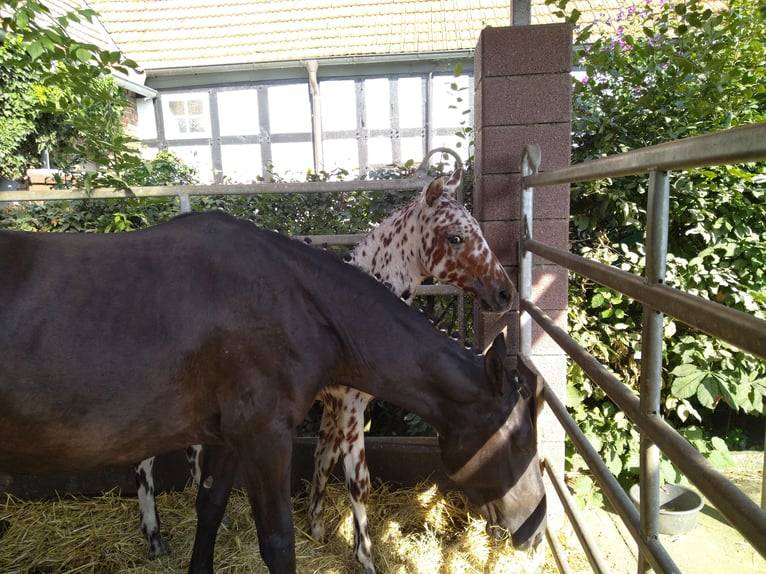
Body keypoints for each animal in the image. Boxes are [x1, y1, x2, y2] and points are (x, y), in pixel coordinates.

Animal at [1, 213, 552, 574]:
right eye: (521, 440)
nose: (536, 529)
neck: (298, 304)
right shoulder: (267, 437)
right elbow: (280, 542)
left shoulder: (231, 438)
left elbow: (210, 507)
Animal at [132, 168, 520, 572]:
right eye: (455, 237)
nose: (505, 293)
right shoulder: (349, 406)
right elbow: (357, 481)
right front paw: (364, 558)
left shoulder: (333, 406)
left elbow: (323, 458)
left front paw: (315, 527)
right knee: (145, 462)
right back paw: (154, 538)